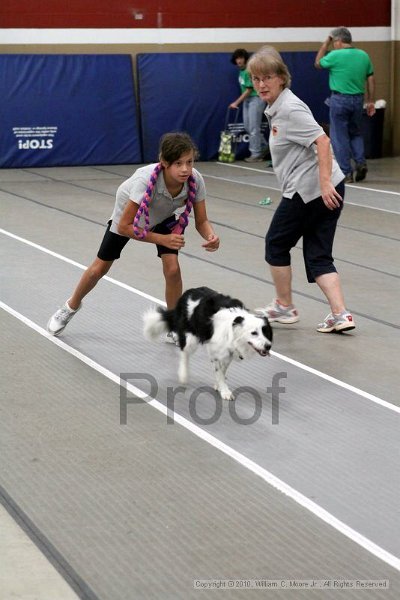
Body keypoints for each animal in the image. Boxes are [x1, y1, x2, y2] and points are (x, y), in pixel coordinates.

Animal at [143, 288, 272, 400]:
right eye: (254, 333)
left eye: (266, 332)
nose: (268, 346)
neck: (233, 329)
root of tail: (188, 293)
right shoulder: (216, 351)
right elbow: (219, 372)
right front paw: (225, 391)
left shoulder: (228, 352)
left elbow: (223, 370)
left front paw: (219, 385)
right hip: (190, 338)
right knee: (184, 353)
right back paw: (183, 375)